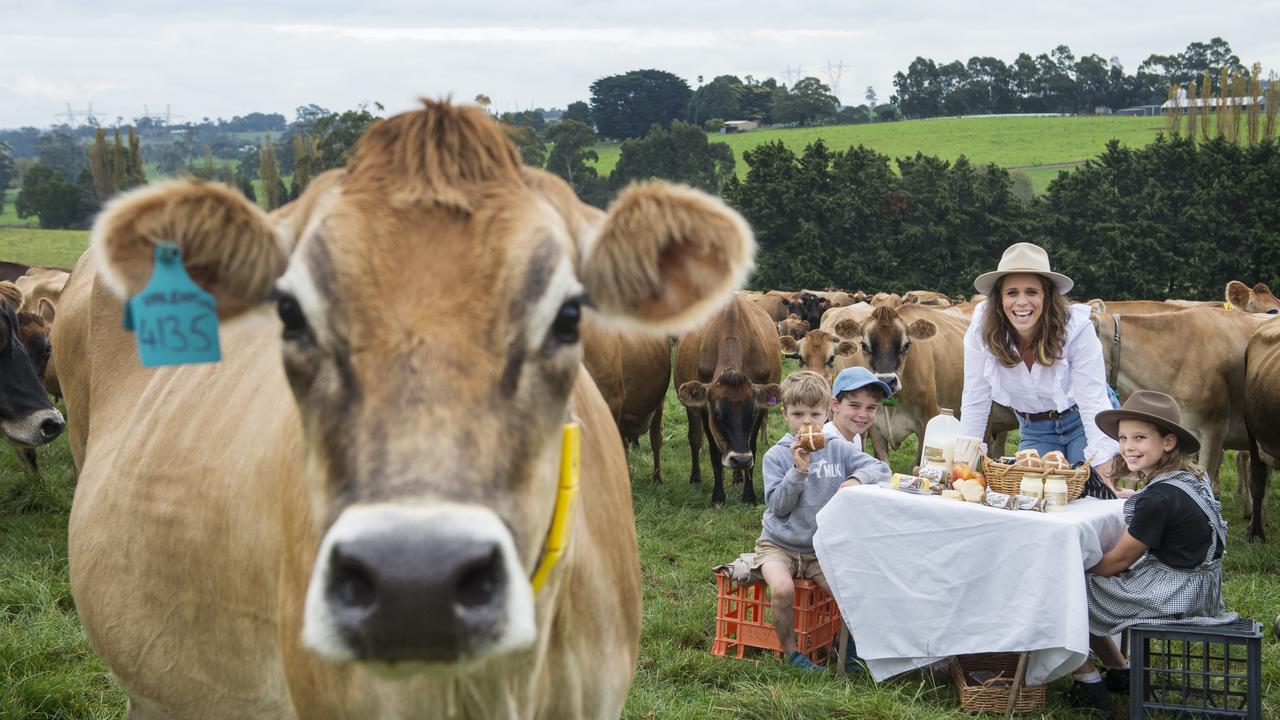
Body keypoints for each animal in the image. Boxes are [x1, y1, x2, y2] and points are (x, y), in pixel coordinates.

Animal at [680, 292, 778, 504]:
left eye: (753, 412)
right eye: (717, 412)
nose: (740, 459)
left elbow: (752, 449)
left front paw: (749, 496)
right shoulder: (704, 409)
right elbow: (715, 453)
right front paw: (718, 497)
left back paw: (738, 478)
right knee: (695, 439)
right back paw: (696, 477)